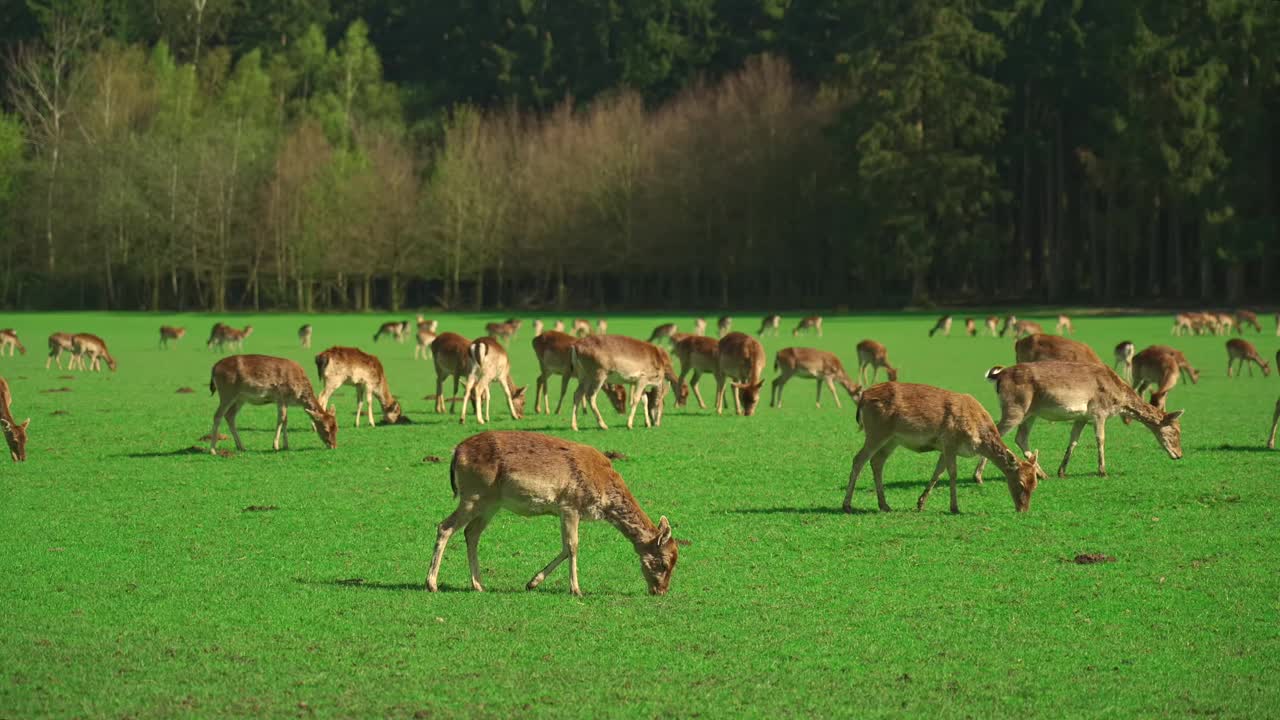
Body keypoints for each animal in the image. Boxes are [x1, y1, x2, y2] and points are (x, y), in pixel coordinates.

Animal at [204, 353, 337, 450]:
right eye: (325, 428)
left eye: (336, 427)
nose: (334, 445)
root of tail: (214, 368)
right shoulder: (282, 396)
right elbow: (281, 419)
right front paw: (276, 446)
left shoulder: (283, 401)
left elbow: (285, 420)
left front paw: (286, 445)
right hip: (227, 392)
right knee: (217, 415)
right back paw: (213, 449)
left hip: (240, 398)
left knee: (229, 415)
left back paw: (241, 446)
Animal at [422, 427, 680, 591]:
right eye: (664, 563)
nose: (660, 590)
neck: (604, 491)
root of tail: (456, 452)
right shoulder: (571, 505)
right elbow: (573, 546)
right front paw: (576, 589)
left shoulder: (563, 512)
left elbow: (565, 547)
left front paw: (532, 583)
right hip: (473, 495)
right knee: (444, 526)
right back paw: (432, 584)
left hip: (491, 504)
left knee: (471, 532)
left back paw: (478, 584)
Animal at [844, 379, 1044, 512]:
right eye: (1020, 483)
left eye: (1034, 484)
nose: (1023, 509)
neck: (978, 437)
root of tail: (863, 397)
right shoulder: (949, 442)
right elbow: (952, 473)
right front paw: (955, 507)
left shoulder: (943, 447)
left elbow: (937, 473)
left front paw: (920, 503)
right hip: (876, 431)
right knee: (858, 459)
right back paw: (847, 505)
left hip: (892, 439)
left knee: (877, 461)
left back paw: (884, 505)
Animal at [972, 358, 1182, 481]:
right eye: (1175, 430)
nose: (1179, 454)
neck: (1118, 399)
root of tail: (998, 375)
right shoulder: (1099, 411)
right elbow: (1101, 439)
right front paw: (1102, 471)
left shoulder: (1082, 417)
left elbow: (1073, 441)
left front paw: (1062, 471)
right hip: (1015, 408)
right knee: (997, 433)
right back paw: (977, 476)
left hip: (1030, 413)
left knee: (1021, 438)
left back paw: (1042, 473)